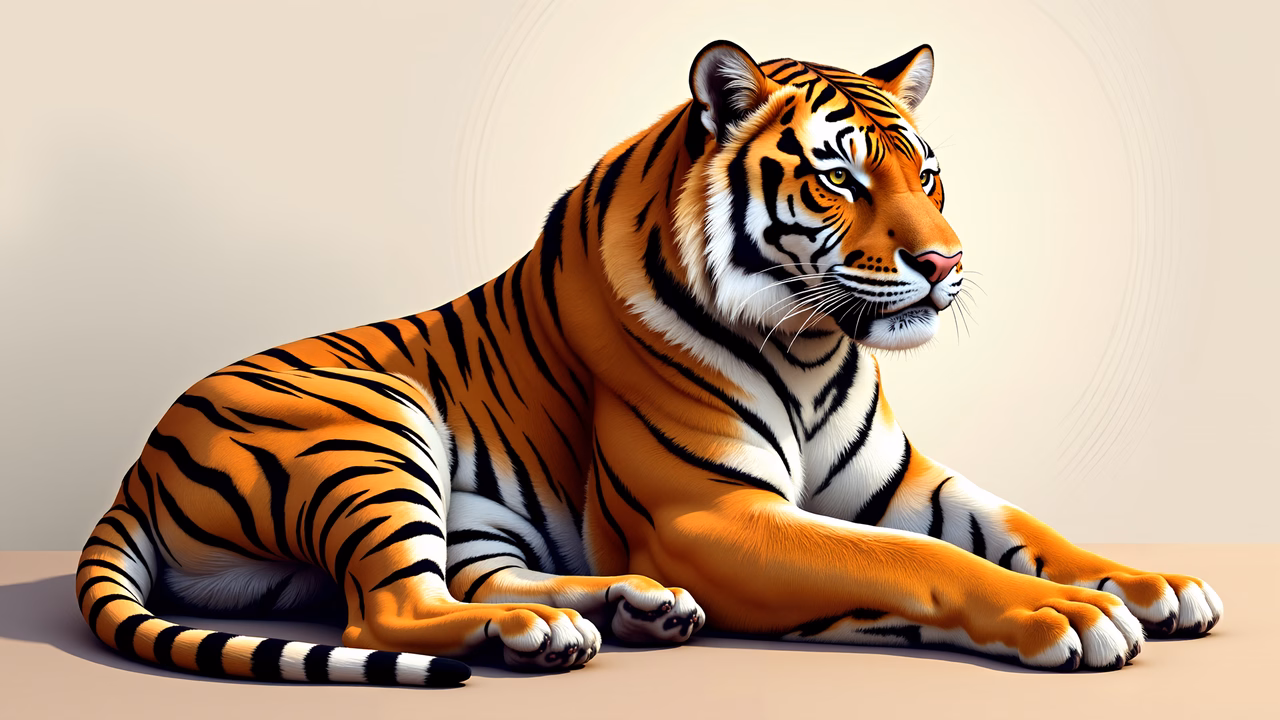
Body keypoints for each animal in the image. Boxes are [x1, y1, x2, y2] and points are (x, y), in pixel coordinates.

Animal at [75, 40, 1223, 686]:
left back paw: (622, 608)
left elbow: (1024, 528)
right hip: (371, 427)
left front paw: (1152, 584)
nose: (943, 263)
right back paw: (543, 630)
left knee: (463, 578)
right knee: (391, 608)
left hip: (462, 514)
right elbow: (917, 562)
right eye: (841, 177)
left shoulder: (896, 480)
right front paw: (1069, 616)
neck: (813, 343)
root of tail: (134, 466)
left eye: (926, 175)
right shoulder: (708, 514)